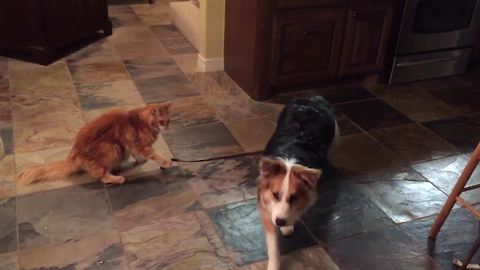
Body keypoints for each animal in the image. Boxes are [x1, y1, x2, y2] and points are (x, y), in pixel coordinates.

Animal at [17, 102, 173, 185]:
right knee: (101, 175)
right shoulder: (142, 145)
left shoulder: (133, 146)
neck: (142, 121)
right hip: (112, 148)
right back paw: (117, 178)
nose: (167, 126)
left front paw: (141, 161)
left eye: (168, 120)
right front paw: (166, 162)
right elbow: (156, 155)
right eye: (162, 121)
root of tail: (74, 154)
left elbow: (138, 155)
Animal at [258, 96, 338, 268]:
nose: (280, 221)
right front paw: (273, 265)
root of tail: (312, 98)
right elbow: (273, 245)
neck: (290, 160)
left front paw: (288, 225)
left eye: (293, 198)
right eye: (275, 194)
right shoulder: (266, 207)